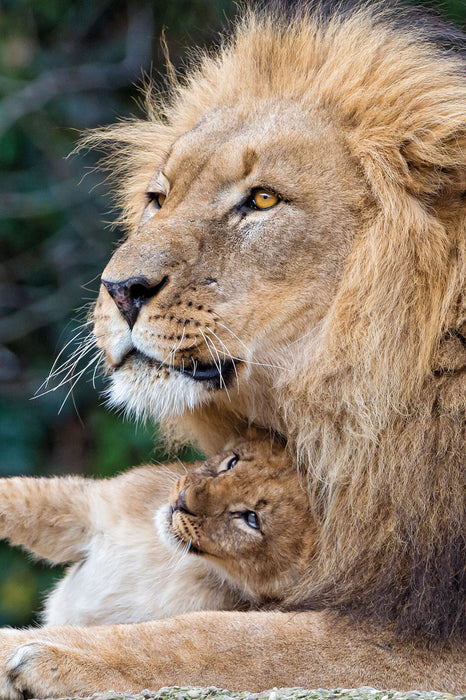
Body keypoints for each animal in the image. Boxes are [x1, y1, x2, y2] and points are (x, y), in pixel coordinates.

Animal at [0, 2, 466, 696]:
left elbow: (229, 639)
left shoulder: (420, 621)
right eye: (158, 198)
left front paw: (49, 654)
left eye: (263, 198)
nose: (119, 290)